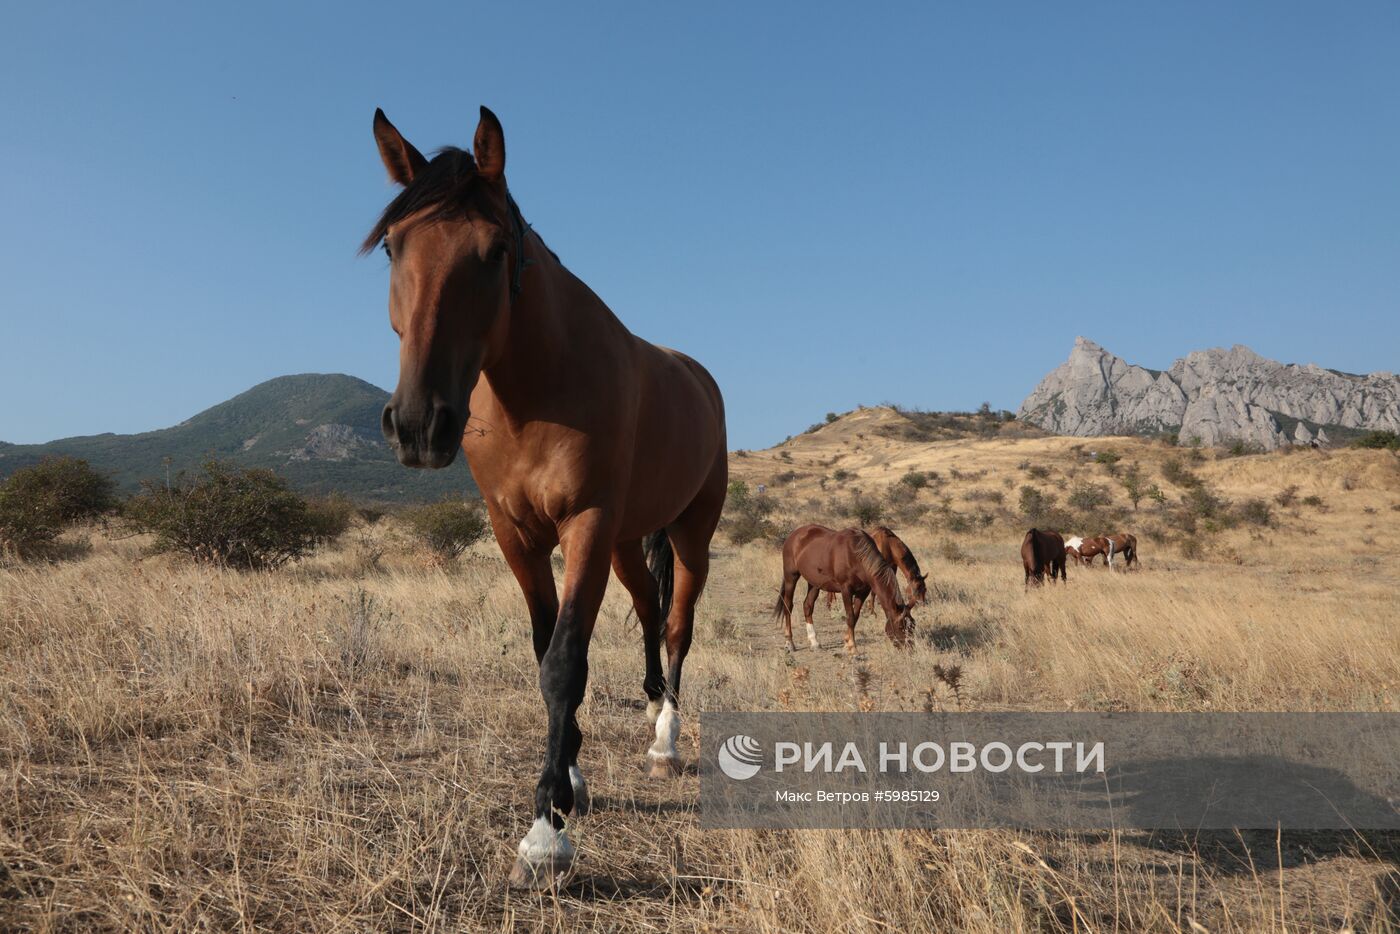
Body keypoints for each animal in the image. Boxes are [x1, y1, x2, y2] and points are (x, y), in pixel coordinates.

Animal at [361, 105, 733, 890]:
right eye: (393, 248)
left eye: (495, 249)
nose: (418, 424)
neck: (536, 389)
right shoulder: (517, 533)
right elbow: (544, 651)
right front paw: (571, 778)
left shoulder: (584, 524)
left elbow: (566, 662)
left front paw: (547, 829)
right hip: (627, 541)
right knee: (649, 610)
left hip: (690, 534)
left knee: (678, 624)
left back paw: (666, 738)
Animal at [772, 526, 912, 658]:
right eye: (901, 627)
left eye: (912, 626)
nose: (910, 649)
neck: (857, 555)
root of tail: (794, 535)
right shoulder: (846, 590)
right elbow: (850, 617)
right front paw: (853, 649)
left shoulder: (862, 592)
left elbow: (855, 617)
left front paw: (847, 644)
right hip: (791, 577)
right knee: (788, 606)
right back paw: (789, 643)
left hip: (814, 583)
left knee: (807, 606)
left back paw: (814, 642)